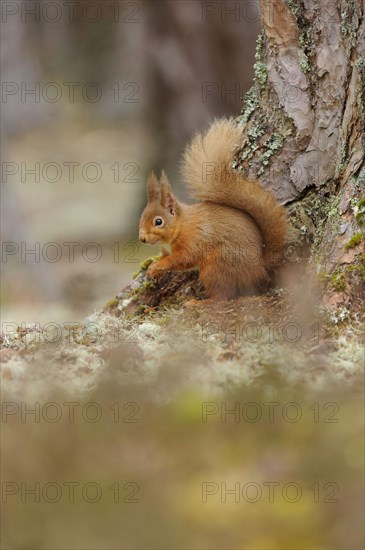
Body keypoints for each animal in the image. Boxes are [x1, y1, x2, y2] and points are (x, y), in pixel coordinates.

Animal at [138, 119, 286, 306]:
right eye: (142, 217)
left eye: (158, 221)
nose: (142, 238)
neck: (181, 225)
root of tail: (260, 267)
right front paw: (153, 269)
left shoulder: (192, 241)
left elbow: (182, 259)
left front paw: (159, 265)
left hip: (216, 267)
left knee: (221, 297)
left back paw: (199, 303)